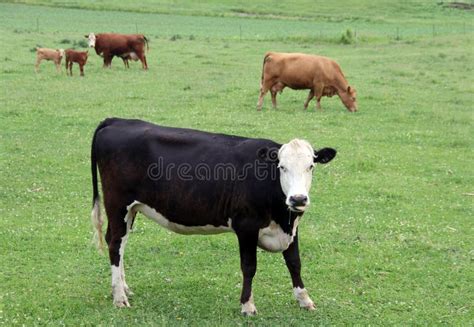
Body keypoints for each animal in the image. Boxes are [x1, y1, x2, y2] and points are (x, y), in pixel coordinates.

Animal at [90, 118, 336, 316]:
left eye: (311, 166)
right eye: (282, 167)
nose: (298, 199)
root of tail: (117, 120)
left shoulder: (291, 227)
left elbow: (295, 263)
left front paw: (305, 300)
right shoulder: (246, 226)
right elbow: (249, 266)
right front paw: (247, 306)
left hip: (130, 210)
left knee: (120, 242)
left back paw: (124, 288)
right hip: (118, 204)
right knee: (115, 243)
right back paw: (119, 297)